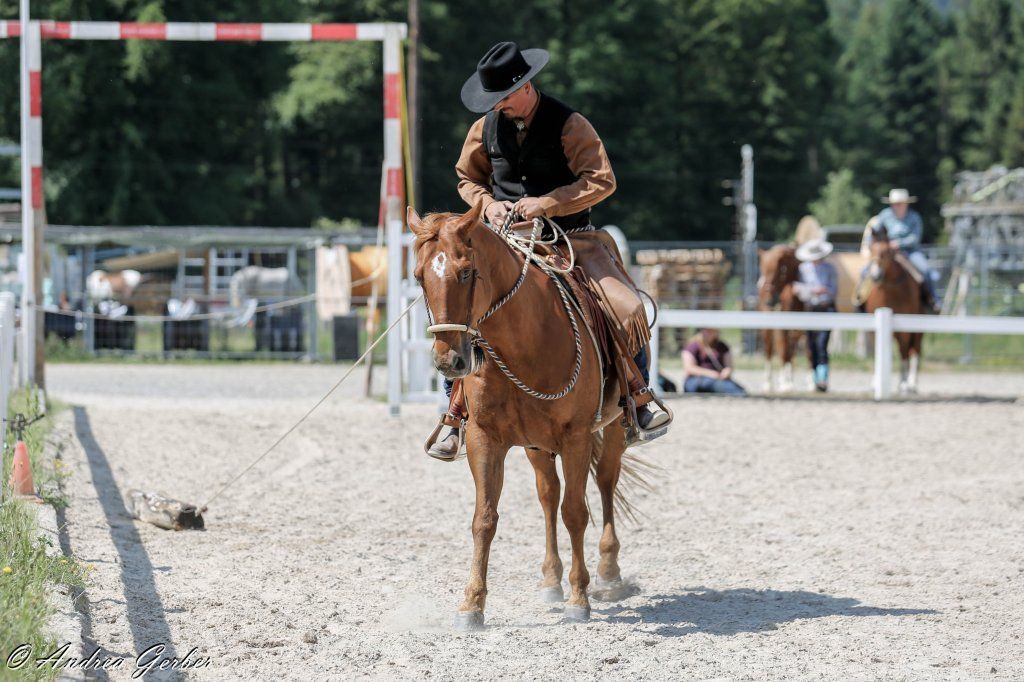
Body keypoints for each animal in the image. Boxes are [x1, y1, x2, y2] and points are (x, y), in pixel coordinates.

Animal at [408, 205, 645, 630]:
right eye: (419, 276)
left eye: (466, 271)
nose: (449, 361)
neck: (525, 340)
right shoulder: (484, 440)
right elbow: (484, 519)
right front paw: (472, 604)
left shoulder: (577, 438)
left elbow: (575, 513)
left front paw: (579, 599)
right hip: (536, 446)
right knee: (548, 495)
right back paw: (551, 579)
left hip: (613, 428)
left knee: (604, 484)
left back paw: (608, 574)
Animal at [757, 244, 806, 391]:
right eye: (763, 271)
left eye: (779, 271)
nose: (769, 302)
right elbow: (784, 350)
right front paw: (785, 383)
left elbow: (794, 351)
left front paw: (789, 381)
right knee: (769, 348)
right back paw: (768, 383)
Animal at [863, 230, 925, 393]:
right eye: (871, 249)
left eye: (887, 251)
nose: (875, 275)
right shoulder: (875, 326)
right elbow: (878, 350)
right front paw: (875, 383)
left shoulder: (905, 326)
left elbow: (903, 351)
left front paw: (903, 383)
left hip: (917, 329)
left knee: (914, 350)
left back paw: (911, 383)